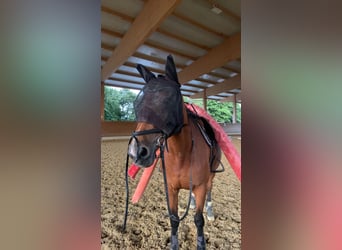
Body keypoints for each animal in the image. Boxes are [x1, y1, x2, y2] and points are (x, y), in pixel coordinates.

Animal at [127, 55, 222, 250]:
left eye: (170, 99)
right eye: (137, 103)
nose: (136, 152)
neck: (182, 154)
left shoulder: (201, 186)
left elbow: (198, 220)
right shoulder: (170, 188)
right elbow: (174, 220)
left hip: (211, 175)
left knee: (210, 189)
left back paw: (209, 211)